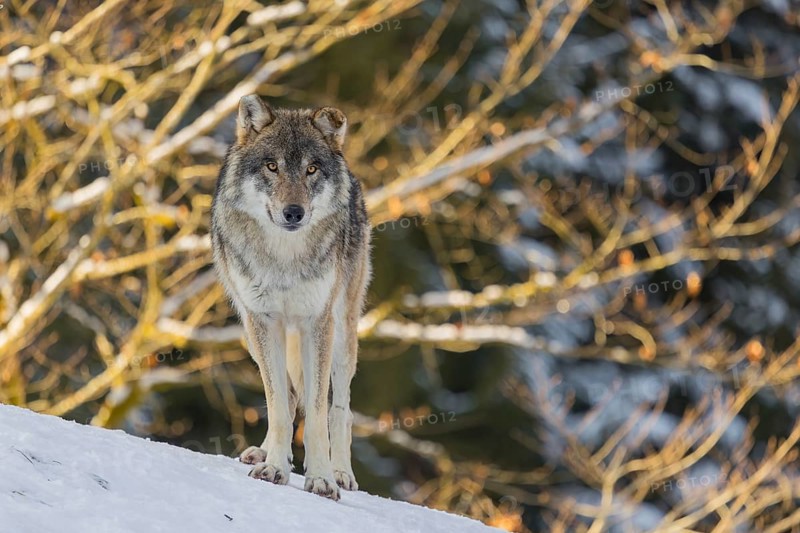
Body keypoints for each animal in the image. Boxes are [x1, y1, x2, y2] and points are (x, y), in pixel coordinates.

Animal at [211, 95, 371, 501]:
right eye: (272, 166)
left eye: (312, 169)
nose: (293, 212)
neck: (285, 257)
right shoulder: (264, 320)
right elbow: (279, 406)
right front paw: (274, 468)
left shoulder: (318, 323)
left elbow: (316, 413)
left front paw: (322, 478)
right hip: (251, 333)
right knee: (287, 395)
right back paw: (266, 452)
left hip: (342, 333)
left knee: (340, 408)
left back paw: (341, 472)